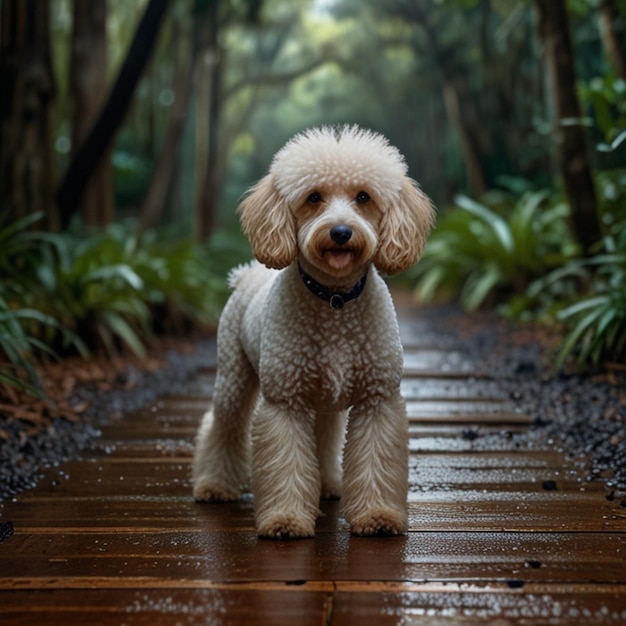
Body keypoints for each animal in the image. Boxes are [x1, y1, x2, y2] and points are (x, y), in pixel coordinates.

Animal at [193, 124, 432, 532]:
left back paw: (329, 485)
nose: (340, 232)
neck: (334, 300)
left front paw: (377, 515)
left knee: (325, 434)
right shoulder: (285, 402)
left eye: (363, 197)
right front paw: (286, 519)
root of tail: (245, 276)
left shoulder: (377, 399)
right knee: (223, 424)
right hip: (234, 377)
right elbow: (286, 463)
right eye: (313, 197)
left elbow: (374, 459)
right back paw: (213, 484)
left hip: (324, 399)